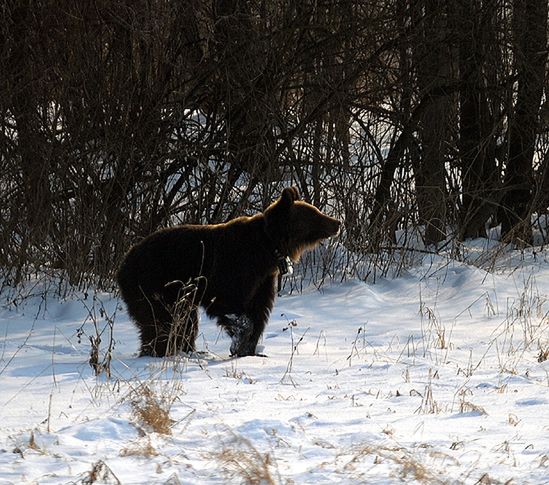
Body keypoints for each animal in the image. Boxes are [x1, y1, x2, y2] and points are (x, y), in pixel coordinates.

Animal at [115, 187, 338, 358]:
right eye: (314, 213)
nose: (337, 222)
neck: (267, 248)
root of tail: (123, 262)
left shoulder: (263, 280)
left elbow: (259, 311)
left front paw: (250, 350)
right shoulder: (233, 269)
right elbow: (230, 304)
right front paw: (239, 341)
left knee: (182, 322)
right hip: (155, 283)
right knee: (162, 320)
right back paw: (161, 351)